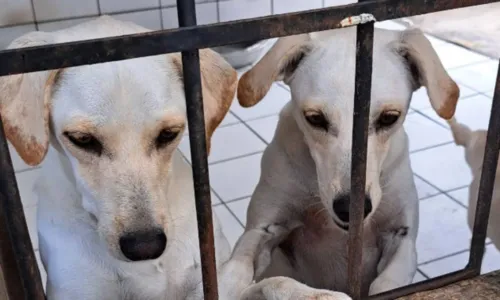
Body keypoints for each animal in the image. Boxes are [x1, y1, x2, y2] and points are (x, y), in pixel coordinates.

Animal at [234, 26, 460, 298]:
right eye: (315, 118)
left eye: (389, 118)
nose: (349, 208)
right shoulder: (263, 228)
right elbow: (238, 268)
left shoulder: (401, 239)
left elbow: (387, 282)